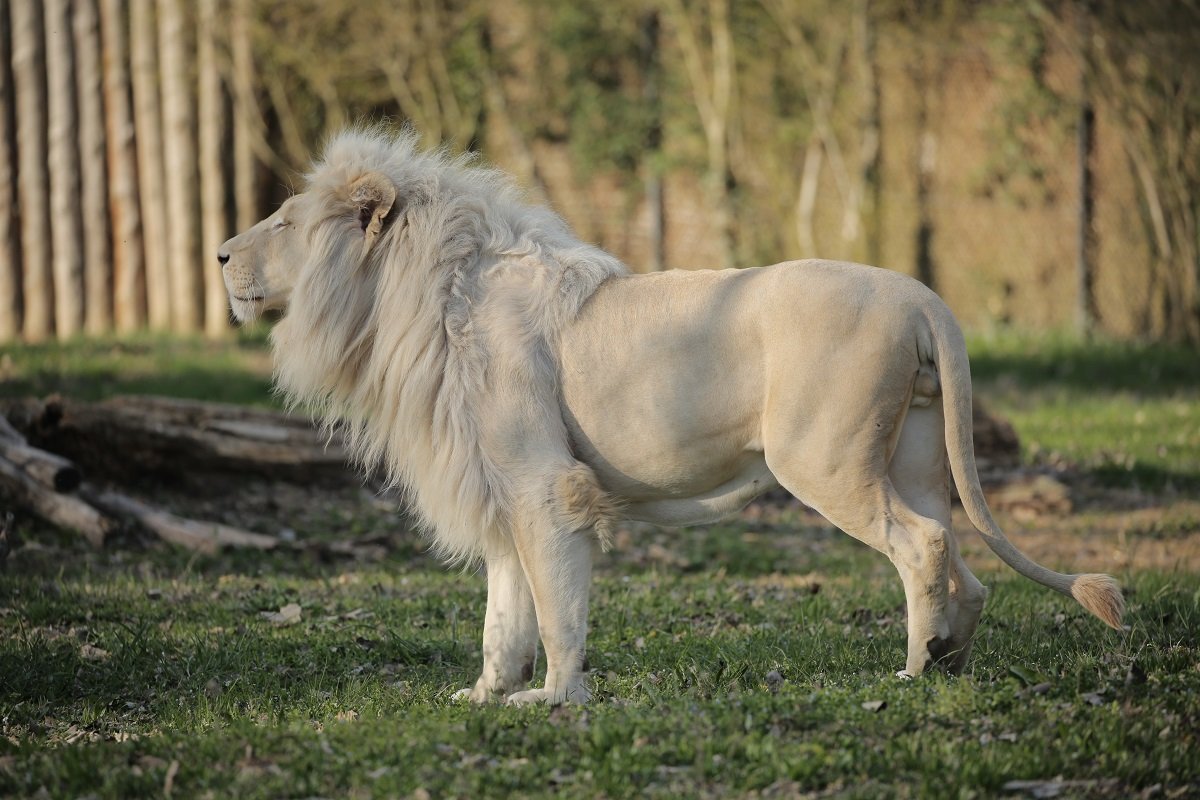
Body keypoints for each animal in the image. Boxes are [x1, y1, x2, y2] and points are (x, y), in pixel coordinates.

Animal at [219, 127, 1123, 705]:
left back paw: (908, 672)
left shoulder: (546, 485)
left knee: (924, 544)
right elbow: (503, 614)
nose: (221, 254)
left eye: (285, 222)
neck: (418, 297)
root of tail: (922, 296)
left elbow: (556, 609)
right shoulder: (499, 488)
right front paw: (482, 696)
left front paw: (556, 700)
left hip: (823, 458)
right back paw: (949, 661)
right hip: (913, 455)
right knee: (965, 561)